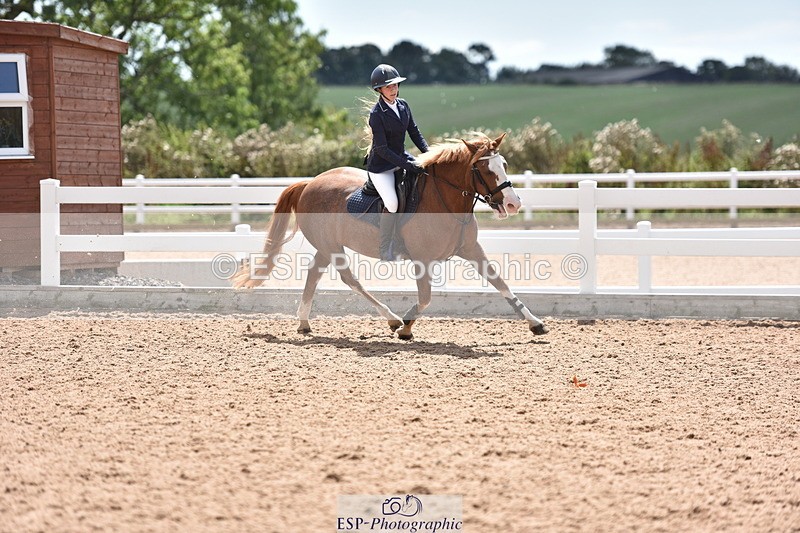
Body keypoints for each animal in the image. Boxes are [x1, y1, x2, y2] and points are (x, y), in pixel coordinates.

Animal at [231, 132, 549, 339]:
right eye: (482, 168)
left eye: (503, 165)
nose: (513, 204)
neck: (445, 202)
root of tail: (309, 183)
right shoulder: (422, 260)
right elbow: (426, 298)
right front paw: (407, 327)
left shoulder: (472, 250)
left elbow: (501, 284)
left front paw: (535, 323)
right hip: (332, 246)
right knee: (350, 279)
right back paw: (393, 320)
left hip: (327, 246)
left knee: (314, 274)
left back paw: (304, 323)